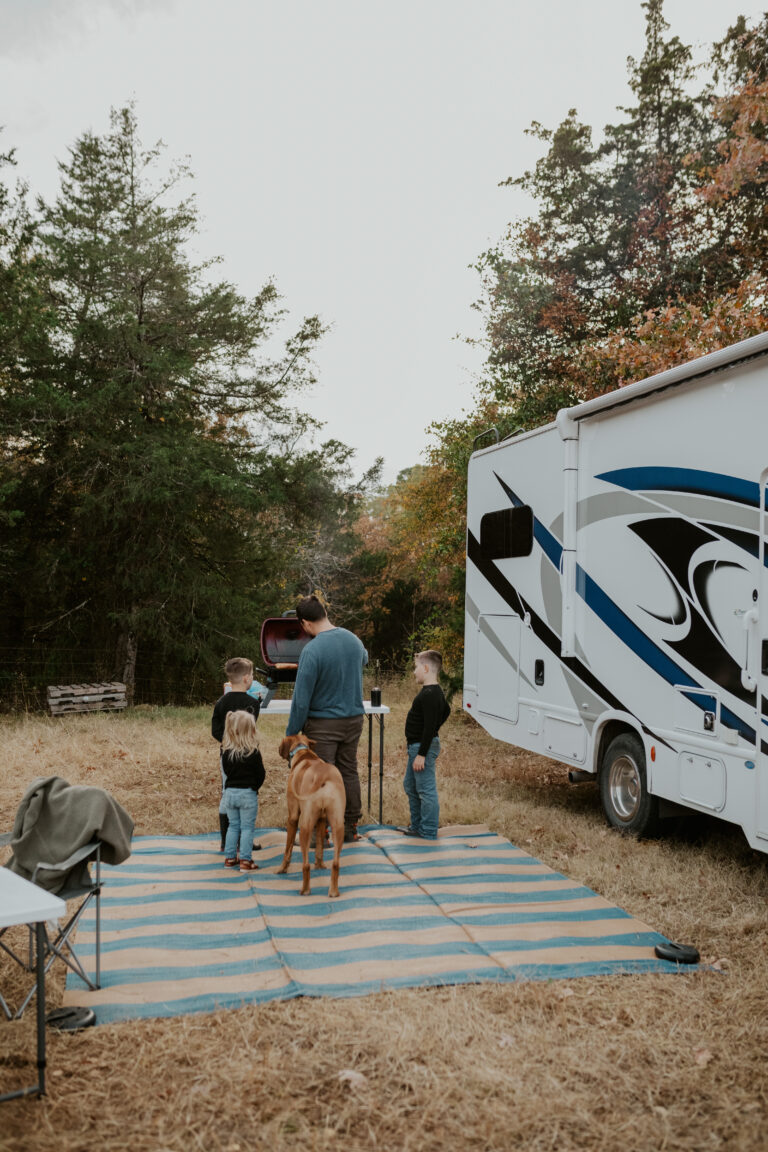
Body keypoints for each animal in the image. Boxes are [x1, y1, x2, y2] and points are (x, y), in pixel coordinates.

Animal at [277, 737, 347, 898]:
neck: (304, 753)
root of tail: (323, 776)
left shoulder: (293, 817)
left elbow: (287, 849)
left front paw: (282, 868)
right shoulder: (321, 819)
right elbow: (320, 847)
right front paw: (320, 865)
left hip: (305, 825)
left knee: (305, 865)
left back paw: (305, 890)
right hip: (338, 825)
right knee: (336, 863)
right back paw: (333, 891)